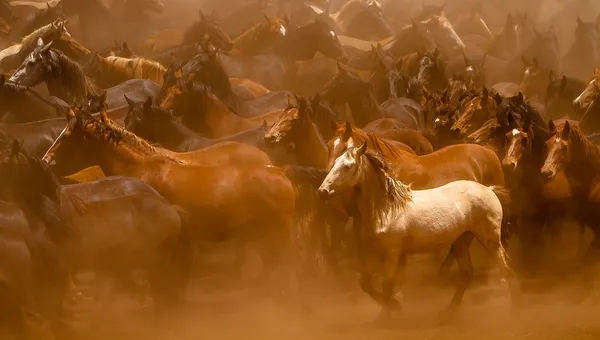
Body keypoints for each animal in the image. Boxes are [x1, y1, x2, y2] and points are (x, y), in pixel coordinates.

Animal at [316, 143, 516, 318]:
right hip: (461, 242)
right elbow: (365, 284)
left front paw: (389, 311)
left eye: (348, 166)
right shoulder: (374, 252)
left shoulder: (392, 253)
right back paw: (449, 313)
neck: (386, 208)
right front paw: (388, 310)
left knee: (506, 271)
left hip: (490, 240)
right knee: (467, 274)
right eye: (335, 163)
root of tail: (489, 190)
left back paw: (512, 308)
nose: (323, 191)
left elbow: (387, 285)